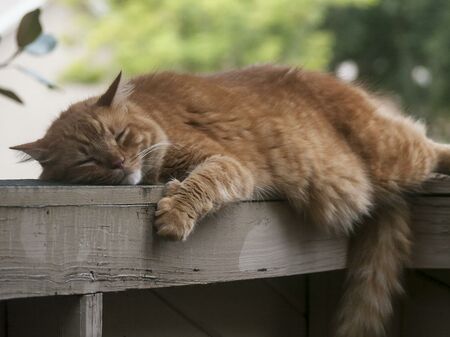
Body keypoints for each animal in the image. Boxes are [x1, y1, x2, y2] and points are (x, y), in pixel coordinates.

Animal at [10, 65, 450, 336]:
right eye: (87, 159)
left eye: (119, 137)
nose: (119, 163)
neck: (154, 114)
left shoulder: (226, 163)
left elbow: (200, 186)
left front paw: (174, 215)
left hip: (392, 154)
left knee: (430, 143)